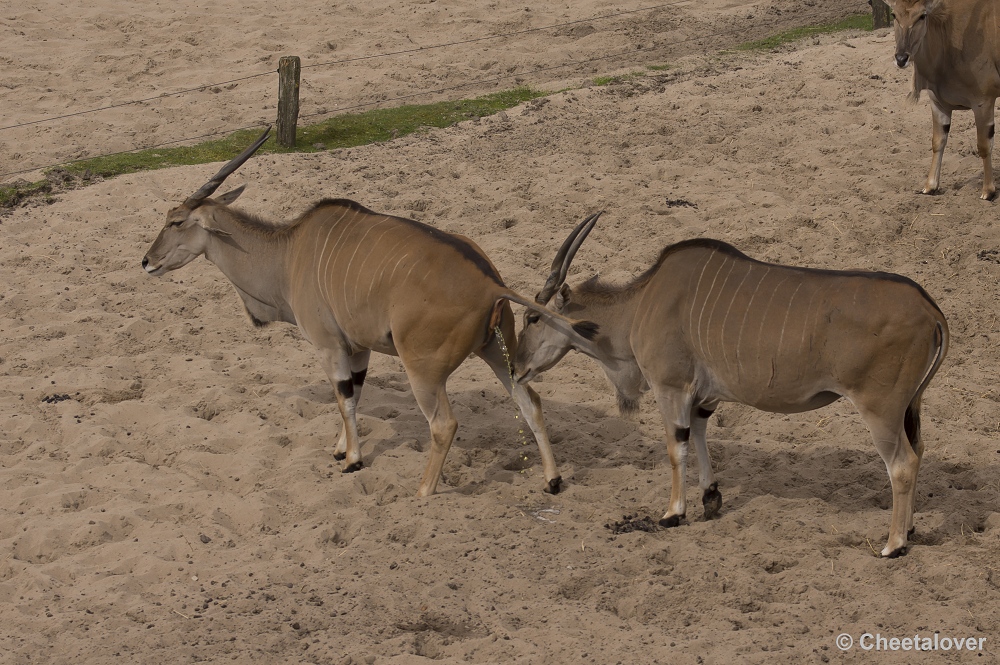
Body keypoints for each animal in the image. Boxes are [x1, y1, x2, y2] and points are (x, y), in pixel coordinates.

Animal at [140, 127, 592, 496]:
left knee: (443, 424)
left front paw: (353, 460)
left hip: (423, 371)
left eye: (176, 221)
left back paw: (423, 492)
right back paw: (552, 480)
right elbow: (354, 393)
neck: (287, 254)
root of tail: (490, 282)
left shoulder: (329, 346)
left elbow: (344, 398)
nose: (146, 262)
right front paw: (341, 449)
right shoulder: (359, 348)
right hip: (500, 352)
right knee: (530, 400)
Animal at [516, 213, 944, 556]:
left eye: (532, 317)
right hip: (910, 406)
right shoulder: (704, 397)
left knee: (902, 464)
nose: (517, 366)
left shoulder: (671, 388)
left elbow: (676, 447)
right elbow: (700, 434)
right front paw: (710, 498)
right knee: (919, 450)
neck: (640, 304)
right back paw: (909, 529)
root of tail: (931, 310)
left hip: (880, 409)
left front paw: (673, 513)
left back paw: (893, 545)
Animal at [892, 0, 1000, 198]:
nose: (901, 58)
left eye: (922, 16)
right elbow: (938, 141)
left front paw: (988, 190)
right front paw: (930, 185)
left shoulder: (983, 102)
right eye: (894, 15)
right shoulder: (938, 104)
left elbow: (984, 145)